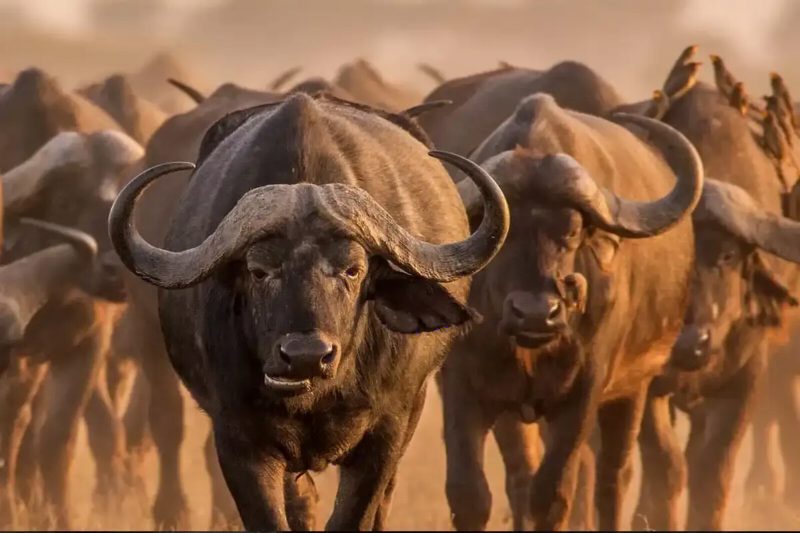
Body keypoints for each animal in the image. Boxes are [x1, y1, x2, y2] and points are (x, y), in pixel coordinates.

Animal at [108, 92, 510, 530]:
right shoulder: (237, 437)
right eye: (259, 270)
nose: (306, 355)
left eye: (353, 269)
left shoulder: (385, 430)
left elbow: (357, 515)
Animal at [441, 93, 703, 531]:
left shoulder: (584, 392)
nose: (535, 314)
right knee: (521, 475)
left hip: (636, 387)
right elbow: (470, 494)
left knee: (613, 476)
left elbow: (553, 494)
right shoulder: (461, 385)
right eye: (499, 232)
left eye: (573, 230)